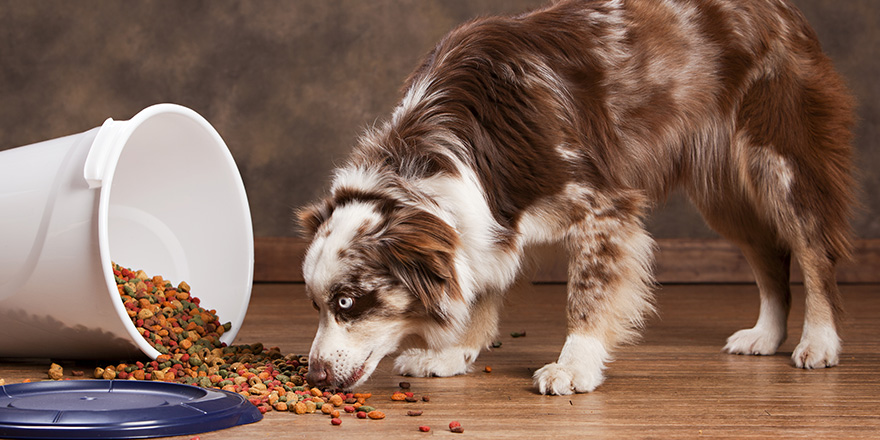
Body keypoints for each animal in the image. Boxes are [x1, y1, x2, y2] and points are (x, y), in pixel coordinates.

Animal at [296, 0, 852, 396]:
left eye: (347, 302)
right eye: (316, 304)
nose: (314, 376)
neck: (436, 157)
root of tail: (782, 10)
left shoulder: (603, 208)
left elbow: (586, 295)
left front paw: (574, 367)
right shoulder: (487, 222)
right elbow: (480, 289)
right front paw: (453, 355)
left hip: (779, 164)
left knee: (813, 250)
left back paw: (819, 341)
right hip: (723, 195)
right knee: (770, 255)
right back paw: (766, 336)